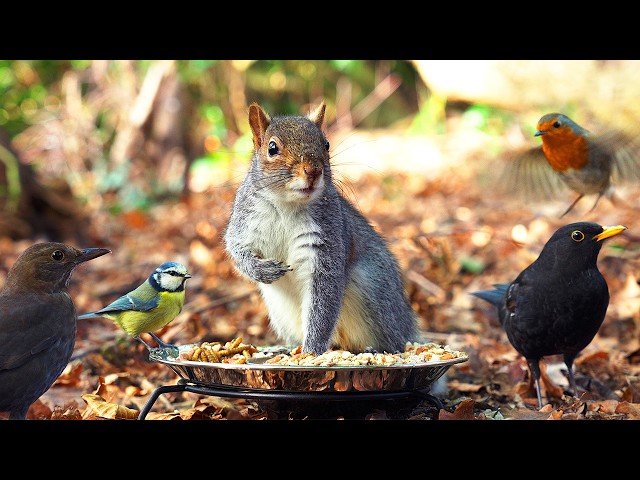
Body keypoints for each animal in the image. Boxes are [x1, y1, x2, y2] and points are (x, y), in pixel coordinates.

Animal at [223, 101, 419, 354]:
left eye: (326, 144)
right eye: (272, 148)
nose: (313, 170)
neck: (287, 205)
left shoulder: (326, 242)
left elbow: (322, 306)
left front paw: (311, 352)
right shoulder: (245, 224)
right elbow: (236, 250)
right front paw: (260, 270)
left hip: (376, 289)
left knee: (394, 339)